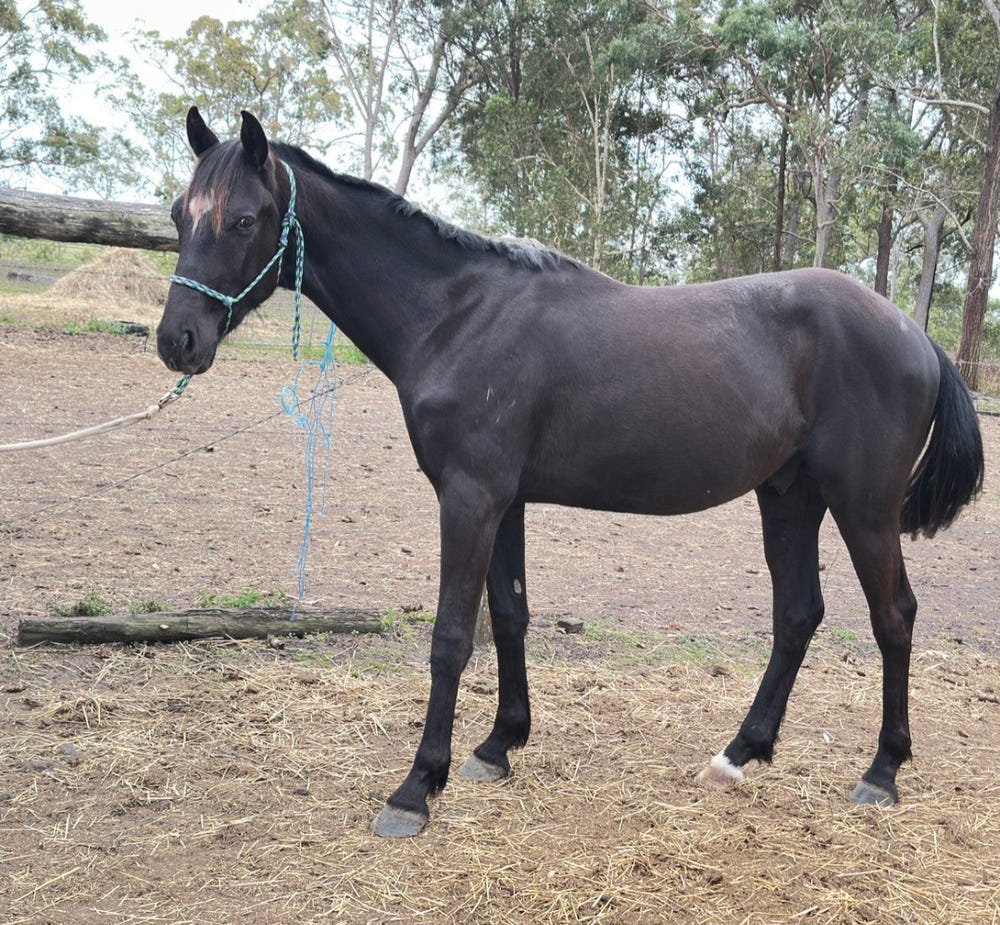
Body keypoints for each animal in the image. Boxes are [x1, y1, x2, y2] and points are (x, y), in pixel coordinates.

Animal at [157, 108, 984, 838]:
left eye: (243, 219)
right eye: (177, 213)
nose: (177, 340)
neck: (457, 316)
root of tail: (915, 336)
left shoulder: (471, 498)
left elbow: (452, 636)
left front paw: (417, 786)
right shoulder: (505, 501)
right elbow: (510, 615)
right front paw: (498, 746)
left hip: (863, 506)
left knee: (893, 616)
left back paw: (881, 772)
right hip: (788, 495)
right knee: (798, 615)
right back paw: (737, 753)